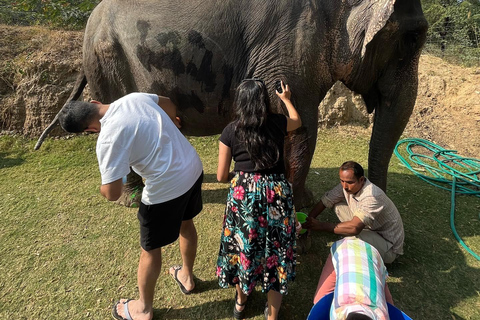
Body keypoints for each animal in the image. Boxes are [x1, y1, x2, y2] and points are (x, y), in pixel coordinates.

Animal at [35, 0, 430, 208]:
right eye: (412, 39)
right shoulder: (287, 49)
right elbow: (301, 126)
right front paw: (303, 210)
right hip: (107, 63)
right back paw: (132, 198)